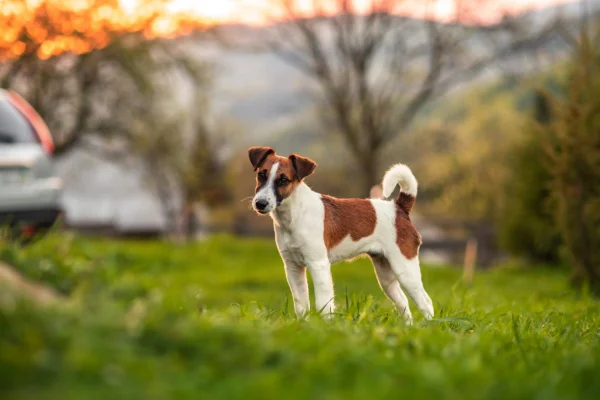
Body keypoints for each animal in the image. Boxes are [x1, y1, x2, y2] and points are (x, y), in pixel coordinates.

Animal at [247, 145, 432, 324]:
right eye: (261, 175)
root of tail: (399, 208)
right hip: (386, 275)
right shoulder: (293, 268)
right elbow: (301, 304)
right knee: (403, 301)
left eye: (284, 180)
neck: (295, 213)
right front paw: (303, 325)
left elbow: (323, 304)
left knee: (425, 302)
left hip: (405, 269)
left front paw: (325, 327)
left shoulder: (318, 265)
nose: (260, 203)